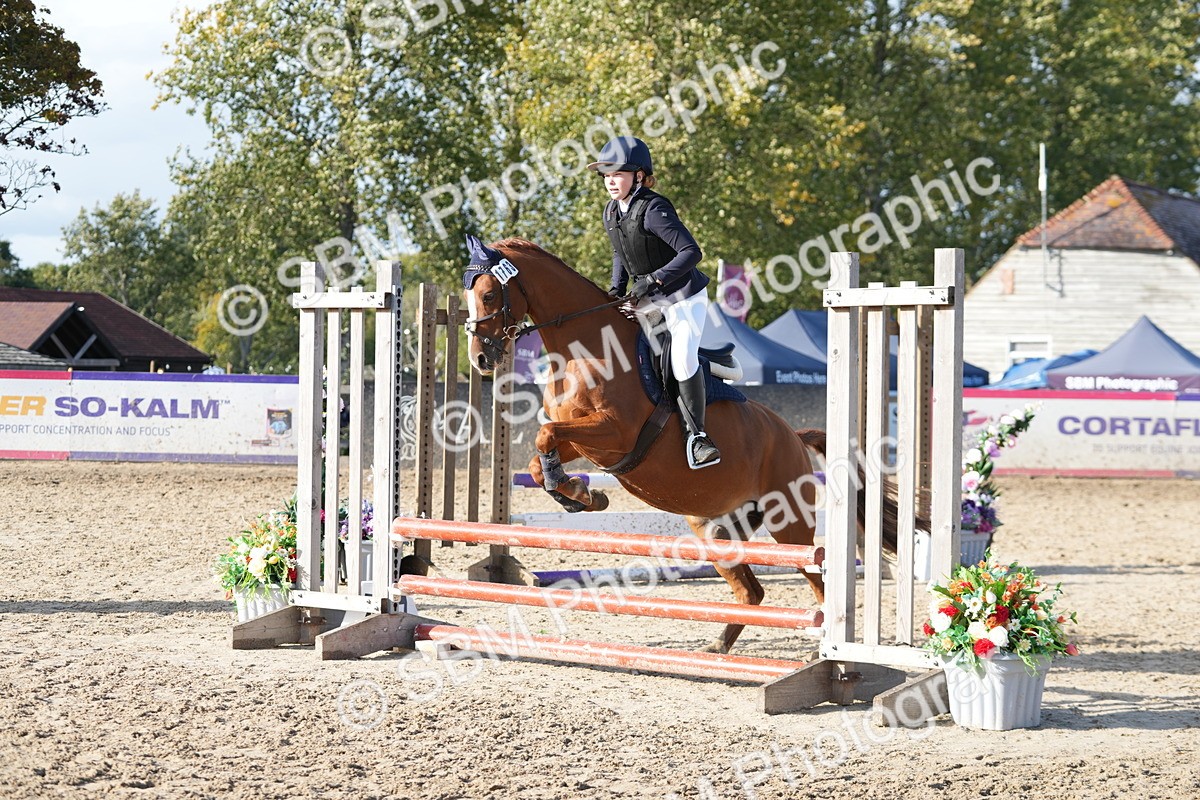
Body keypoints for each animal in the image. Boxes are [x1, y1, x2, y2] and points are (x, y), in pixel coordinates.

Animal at [463, 237, 902, 653]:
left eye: (489, 294)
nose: (481, 359)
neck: (583, 347)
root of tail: (793, 436)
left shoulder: (615, 432)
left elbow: (546, 434)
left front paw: (577, 492)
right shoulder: (587, 443)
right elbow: (540, 457)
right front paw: (579, 494)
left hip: (789, 523)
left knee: (816, 579)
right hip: (716, 531)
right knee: (752, 591)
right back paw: (719, 645)